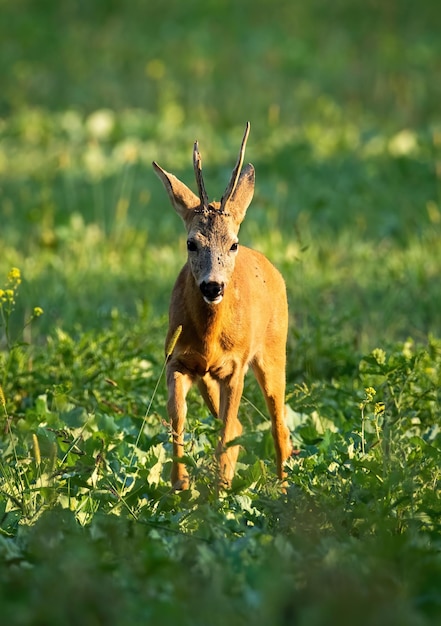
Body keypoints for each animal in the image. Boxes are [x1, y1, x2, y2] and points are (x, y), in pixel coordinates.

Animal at [153, 119, 290, 486]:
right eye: (191, 243)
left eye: (232, 243)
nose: (213, 286)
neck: (210, 337)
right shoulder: (178, 361)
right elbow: (178, 421)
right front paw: (180, 485)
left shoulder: (235, 368)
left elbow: (225, 433)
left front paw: (218, 491)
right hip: (208, 378)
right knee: (241, 427)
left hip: (273, 351)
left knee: (279, 426)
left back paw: (284, 488)